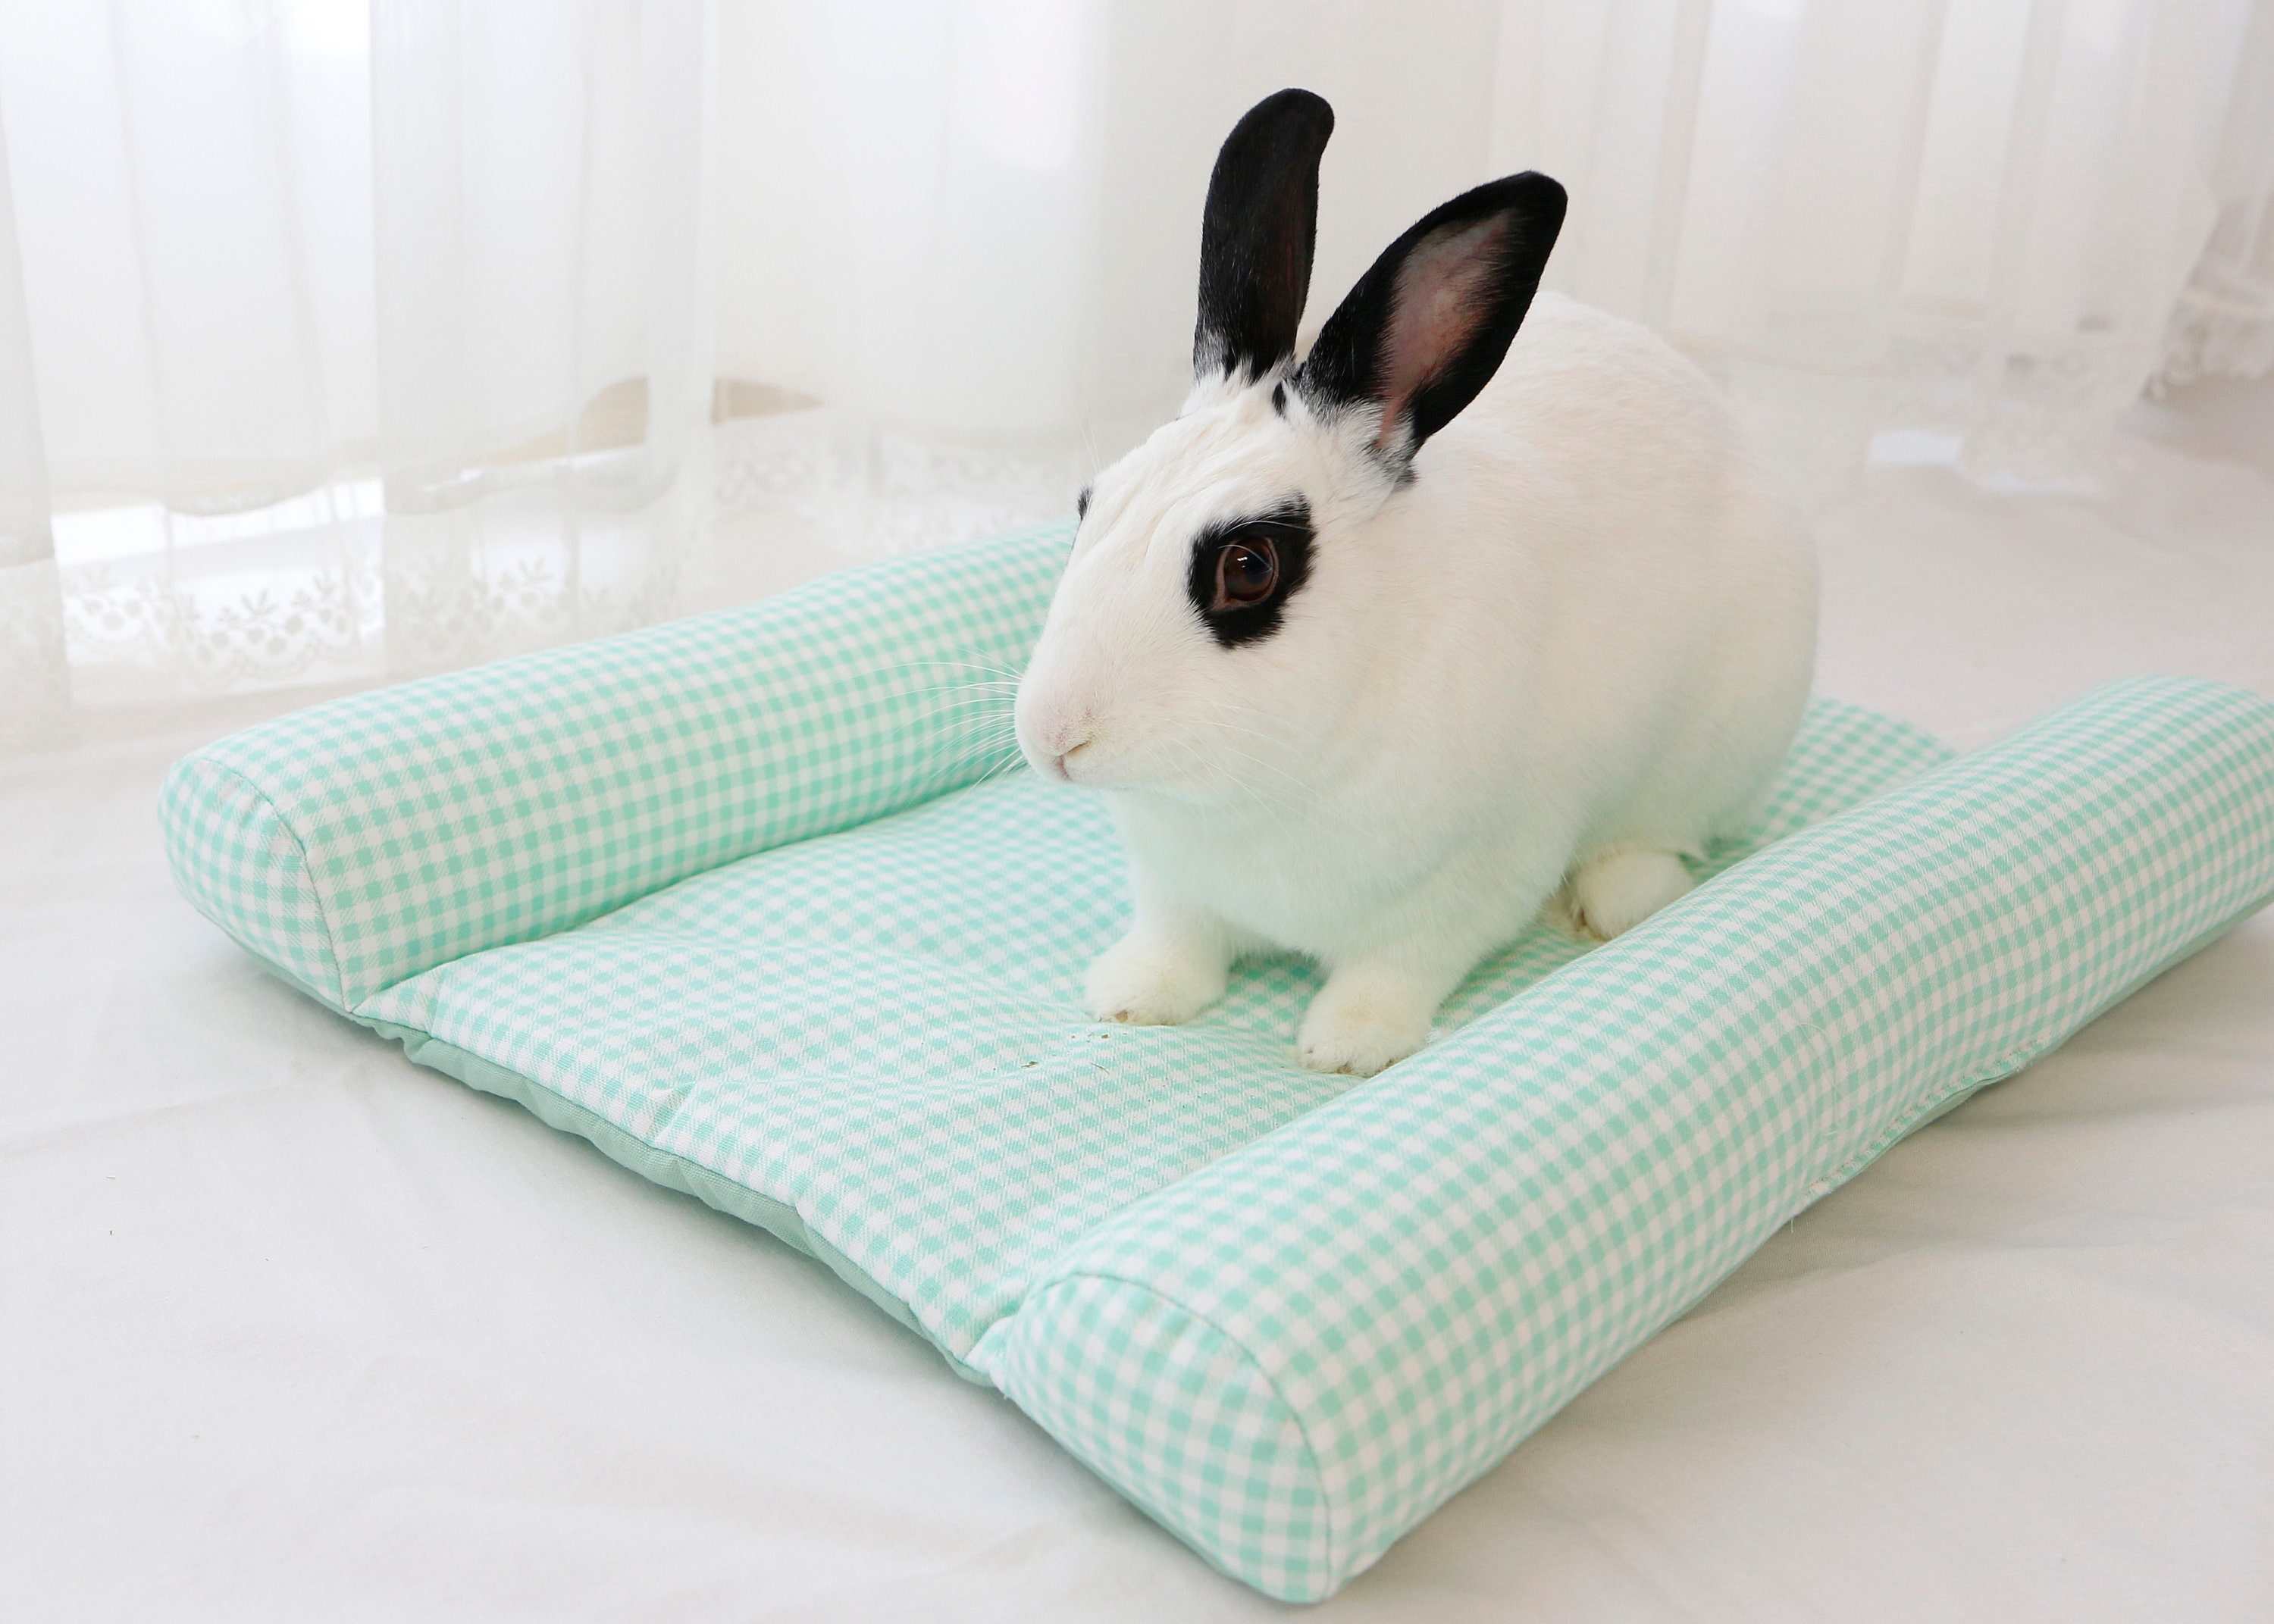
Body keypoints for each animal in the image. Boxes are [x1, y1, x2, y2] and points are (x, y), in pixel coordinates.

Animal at [1013, 88, 1817, 1077]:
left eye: (1249, 568)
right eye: (1090, 501)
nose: (1054, 736)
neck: (1253, 793)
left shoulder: (1467, 888)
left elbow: (1396, 969)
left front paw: (1346, 1048)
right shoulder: (1177, 885)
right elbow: (1178, 941)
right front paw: (1132, 998)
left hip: (1725, 740)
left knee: (1661, 834)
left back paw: (1621, 900)